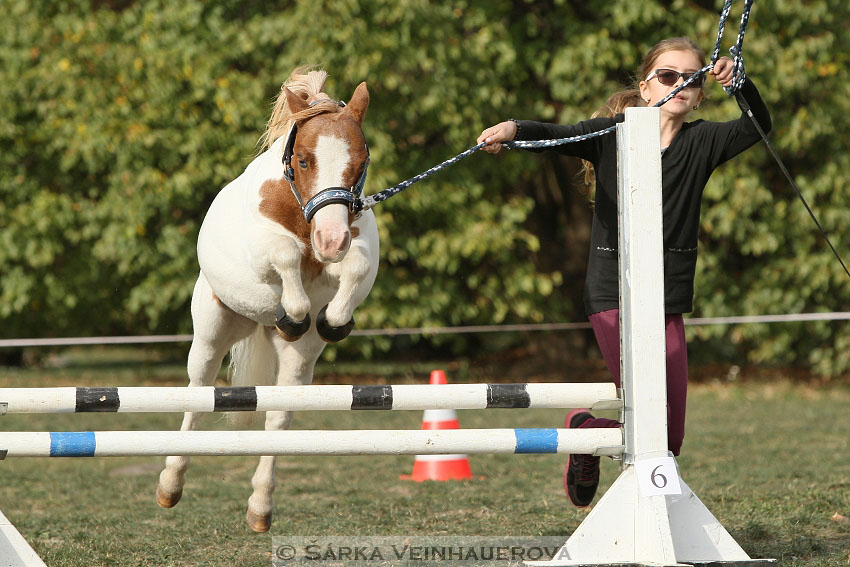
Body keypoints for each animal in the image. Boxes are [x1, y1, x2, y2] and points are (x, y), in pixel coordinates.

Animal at [155, 66, 378, 532]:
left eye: (361, 161)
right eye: (304, 160)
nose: (331, 240)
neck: (300, 212)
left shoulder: (352, 249)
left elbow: (354, 268)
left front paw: (333, 319)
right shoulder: (266, 253)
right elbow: (285, 255)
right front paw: (293, 311)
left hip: (299, 358)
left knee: (278, 416)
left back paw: (260, 507)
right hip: (211, 335)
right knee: (198, 396)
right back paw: (170, 484)